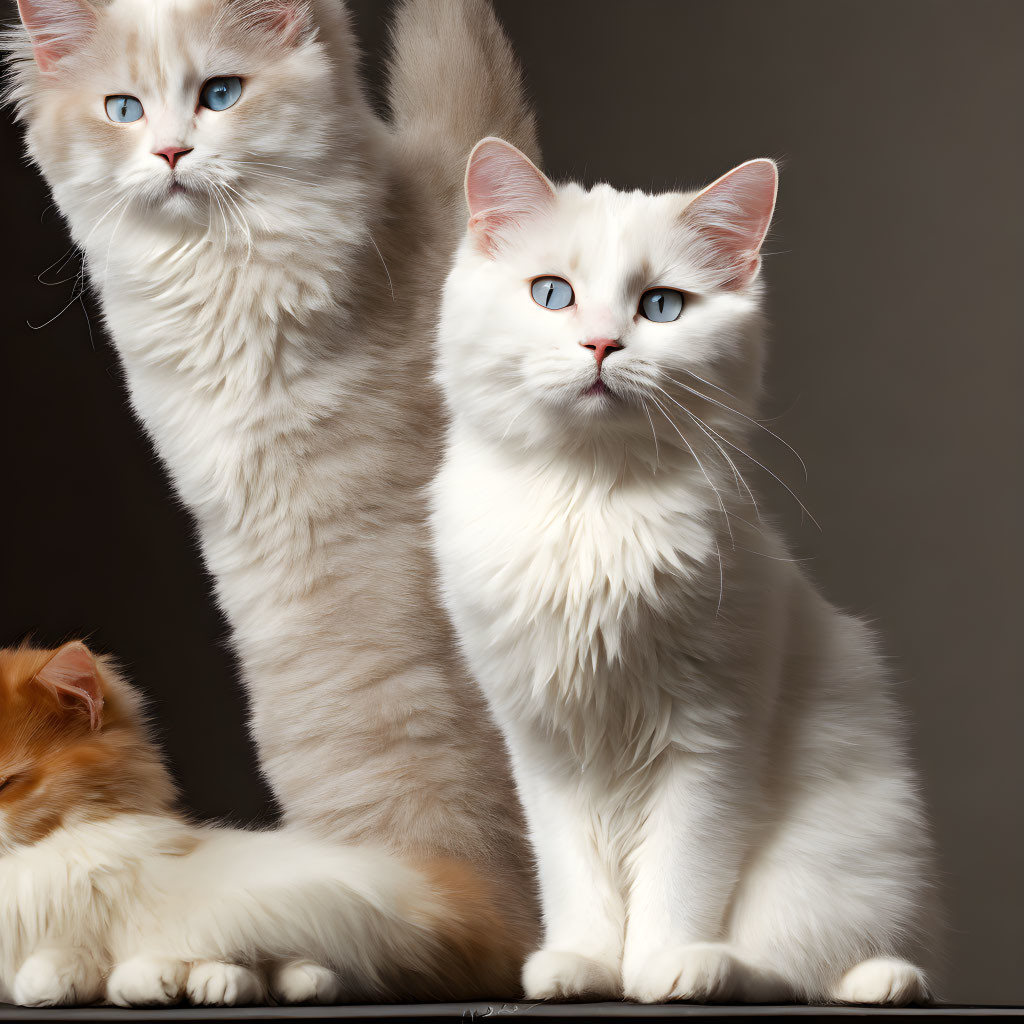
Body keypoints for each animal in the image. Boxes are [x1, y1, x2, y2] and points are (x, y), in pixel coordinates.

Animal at [428, 140, 937, 1003]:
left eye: (661, 307)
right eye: (553, 295)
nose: (602, 345)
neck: (591, 503)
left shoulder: (709, 737)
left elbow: (678, 876)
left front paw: (657, 968)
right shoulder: (545, 746)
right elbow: (575, 878)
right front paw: (583, 965)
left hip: (820, 868)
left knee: (794, 972)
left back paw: (765, 971)